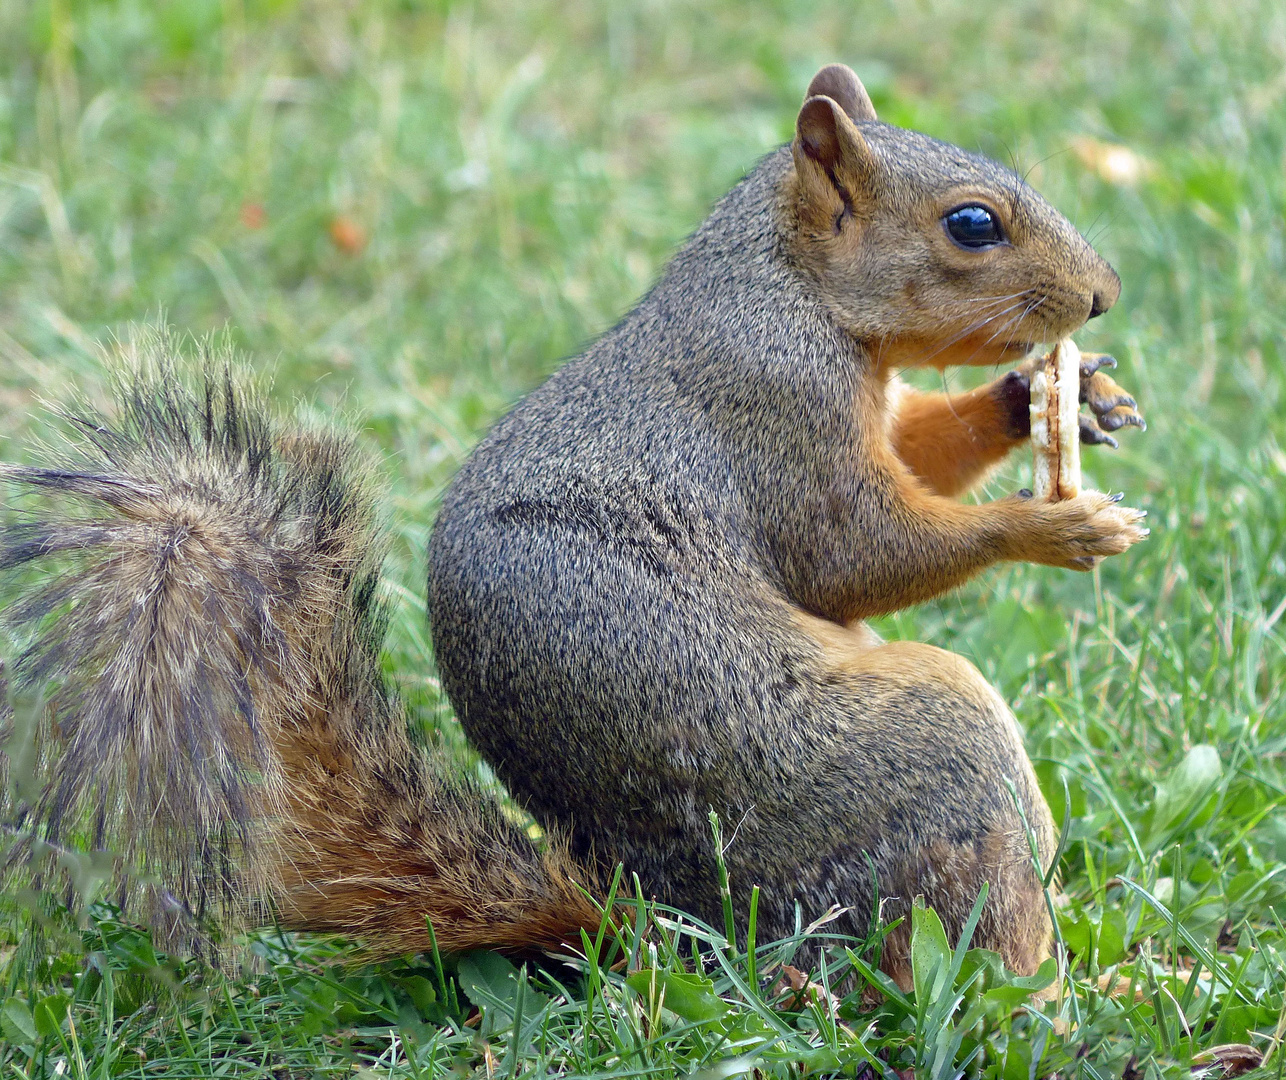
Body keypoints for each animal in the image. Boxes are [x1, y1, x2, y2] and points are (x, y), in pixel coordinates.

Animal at [0, 63, 1147, 982]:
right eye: (970, 224)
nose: (1102, 294)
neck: (789, 290)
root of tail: (684, 922)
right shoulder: (773, 409)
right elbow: (851, 557)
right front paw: (1045, 527)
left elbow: (918, 451)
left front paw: (1047, 400)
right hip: (918, 761)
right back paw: (1050, 1002)